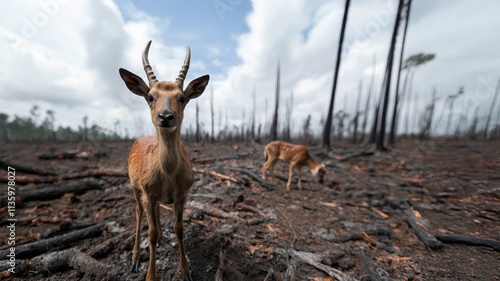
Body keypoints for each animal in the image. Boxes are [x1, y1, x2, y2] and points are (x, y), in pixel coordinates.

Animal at [119, 41, 209, 280]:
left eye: (183, 98)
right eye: (150, 97)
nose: (166, 116)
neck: (168, 174)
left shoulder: (183, 193)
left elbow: (179, 229)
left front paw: (185, 270)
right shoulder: (147, 191)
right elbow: (150, 233)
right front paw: (151, 275)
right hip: (135, 186)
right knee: (139, 213)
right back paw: (134, 257)